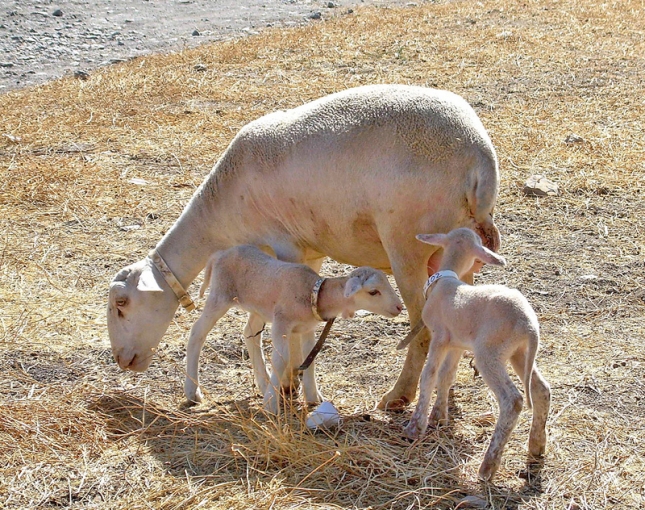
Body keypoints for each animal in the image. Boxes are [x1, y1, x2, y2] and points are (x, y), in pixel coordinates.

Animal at [184, 244, 403, 413]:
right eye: (373, 292)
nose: (399, 307)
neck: (312, 293)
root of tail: (220, 254)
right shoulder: (281, 323)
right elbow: (282, 360)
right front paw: (271, 406)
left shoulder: (307, 328)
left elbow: (310, 358)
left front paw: (313, 397)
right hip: (220, 295)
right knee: (197, 332)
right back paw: (192, 391)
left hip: (258, 306)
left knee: (249, 334)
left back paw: (264, 384)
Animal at [401, 228, 551, 481]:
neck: (446, 280)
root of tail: (530, 326)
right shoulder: (456, 344)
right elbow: (446, 376)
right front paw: (438, 416)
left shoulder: (440, 336)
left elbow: (429, 375)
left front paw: (416, 426)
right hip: (519, 352)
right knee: (541, 389)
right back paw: (536, 446)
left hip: (489, 353)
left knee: (513, 400)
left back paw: (488, 466)